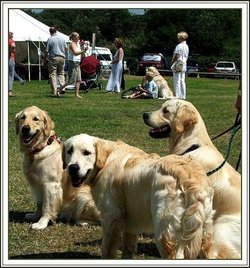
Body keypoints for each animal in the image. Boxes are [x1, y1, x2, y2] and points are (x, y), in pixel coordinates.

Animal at [62, 134, 215, 260]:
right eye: (69, 151)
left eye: (87, 153)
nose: (73, 168)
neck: (106, 160)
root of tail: (189, 176)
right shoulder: (131, 224)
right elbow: (128, 249)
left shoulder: (110, 217)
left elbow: (107, 250)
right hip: (205, 231)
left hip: (164, 233)